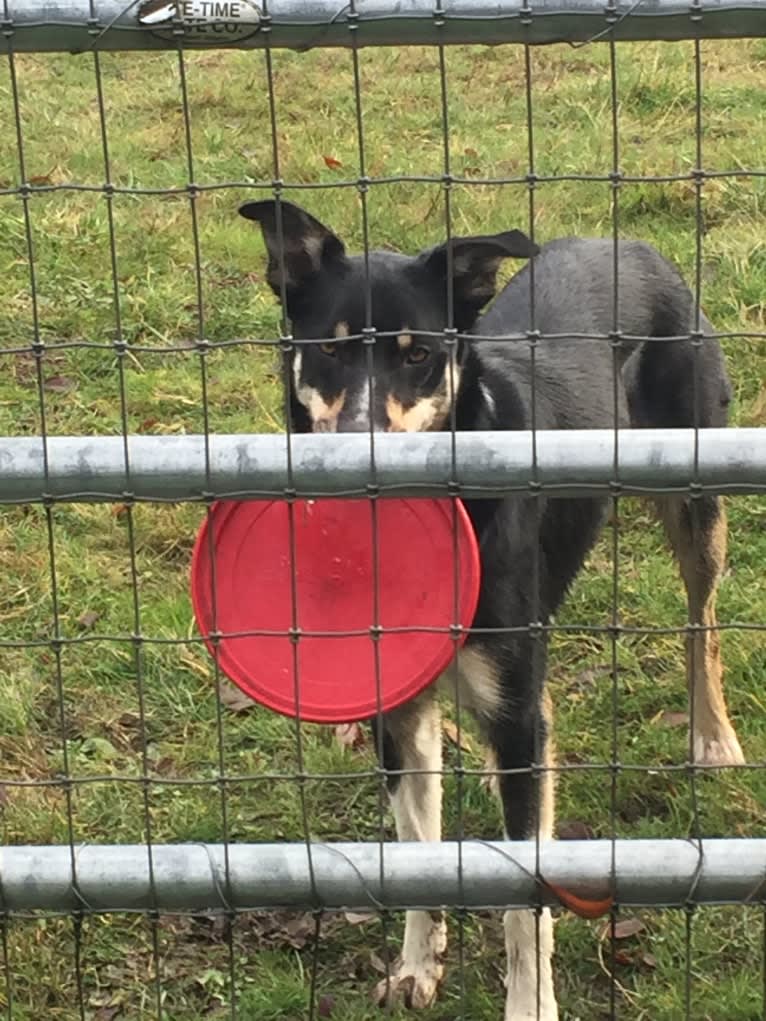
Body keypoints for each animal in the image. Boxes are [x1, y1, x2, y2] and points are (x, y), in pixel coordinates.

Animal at [238, 199, 743, 1021]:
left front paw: (529, 1006)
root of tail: (624, 240)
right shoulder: (399, 707)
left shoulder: (519, 716)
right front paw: (417, 965)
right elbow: (417, 849)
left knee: (702, 623)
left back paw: (712, 736)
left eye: (418, 355)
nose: (356, 452)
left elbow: (523, 898)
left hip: (695, 489)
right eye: (330, 351)